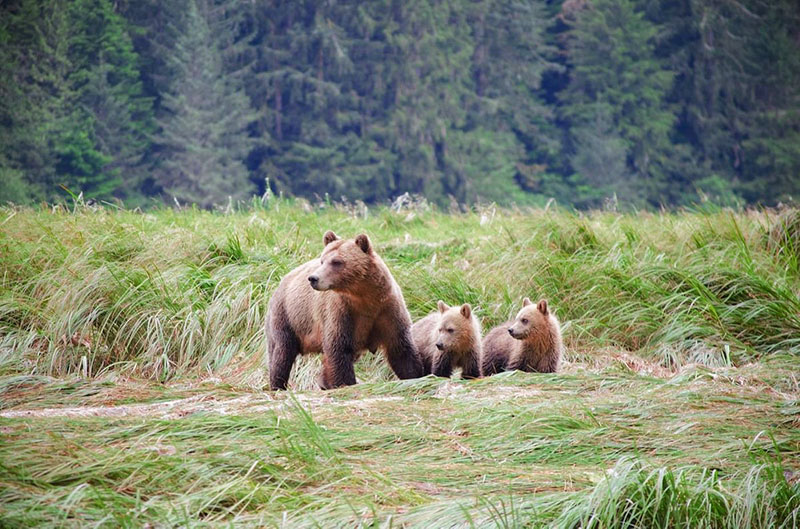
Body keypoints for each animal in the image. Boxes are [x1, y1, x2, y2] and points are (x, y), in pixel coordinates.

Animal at [266, 230, 424, 388]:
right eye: (322, 260)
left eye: (336, 262)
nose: (313, 278)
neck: (365, 299)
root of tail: (281, 282)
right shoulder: (341, 312)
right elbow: (338, 349)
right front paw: (346, 383)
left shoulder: (388, 310)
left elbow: (401, 350)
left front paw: (415, 375)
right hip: (288, 316)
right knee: (282, 352)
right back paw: (278, 384)